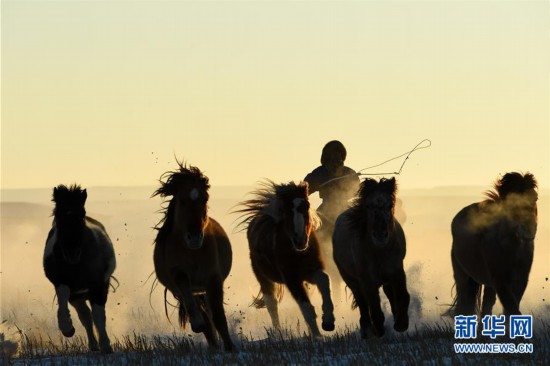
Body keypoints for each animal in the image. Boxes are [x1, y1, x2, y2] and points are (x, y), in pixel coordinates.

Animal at [43, 184, 116, 354]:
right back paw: (93, 345)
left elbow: (99, 316)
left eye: (81, 215)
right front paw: (67, 328)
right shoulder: (63, 283)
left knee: (92, 315)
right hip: (78, 295)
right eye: (58, 216)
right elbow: (64, 303)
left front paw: (106, 345)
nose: (71, 253)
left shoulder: (97, 284)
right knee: (85, 317)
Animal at [153, 163, 235, 352]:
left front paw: (230, 348)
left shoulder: (213, 278)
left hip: (205, 289)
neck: (192, 252)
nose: (195, 237)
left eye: (205, 199)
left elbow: (218, 316)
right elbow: (192, 304)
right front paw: (197, 323)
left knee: (211, 315)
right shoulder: (179, 275)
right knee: (202, 314)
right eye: (182, 200)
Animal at [236, 181, 336, 338]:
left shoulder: (313, 270)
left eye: (306, 205)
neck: (297, 252)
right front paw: (317, 336)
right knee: (272, 304)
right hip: (263, 278)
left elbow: (325, 281)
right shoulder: (292, 279)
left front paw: (328, 322)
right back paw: (278, 333)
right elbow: (306, 308)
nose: (300, 240)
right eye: (286, 210)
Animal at [332, 177, 410, 338]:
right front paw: (378, 330)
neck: (378, 252)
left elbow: (402, 296)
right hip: (352, 281)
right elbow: (374, 307)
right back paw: (366, 330)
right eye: (367, 206)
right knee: (363, 303)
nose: (380, 235)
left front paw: (401, 324)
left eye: (390, 205)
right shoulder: (367, 280)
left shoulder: (396, 271)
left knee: (388, 294)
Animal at [448, 172, 540, 318]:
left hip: (488, 284)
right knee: (466, 306)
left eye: (535, 197)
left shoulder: (521, 279)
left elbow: (511, 308)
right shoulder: (500, 280)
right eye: (511, 201)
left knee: (487, 305)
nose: (528, 229)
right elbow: (511, 308)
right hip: (464, 277)